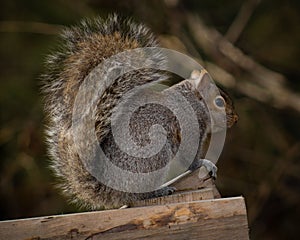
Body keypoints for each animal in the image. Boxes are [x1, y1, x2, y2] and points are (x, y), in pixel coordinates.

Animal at [42, 15, 239, 210]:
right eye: (219, 102)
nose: (235, 119)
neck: (194, 102)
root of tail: (110, 191)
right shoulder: (188, 125)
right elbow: (190, 157)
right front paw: (205, 163)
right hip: (155, 152)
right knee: (136, 196)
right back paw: (158, 191)